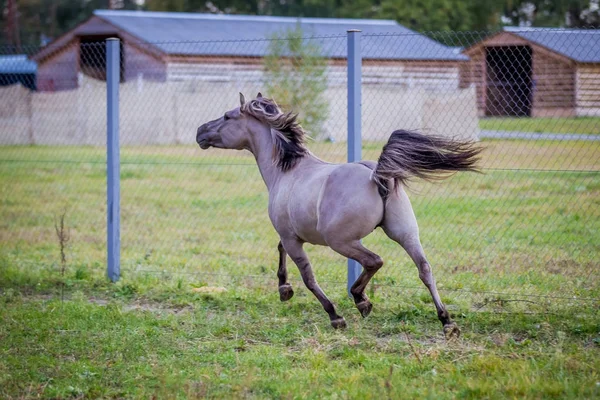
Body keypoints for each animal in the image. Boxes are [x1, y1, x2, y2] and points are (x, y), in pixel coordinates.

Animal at [197, 93, 482, 338]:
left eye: (227, 116)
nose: (200, 131)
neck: (287, 171)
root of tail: (376, 175)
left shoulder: (291, 237)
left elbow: (308, 276)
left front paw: (334, 316)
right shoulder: (291, 234)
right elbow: (280, 251)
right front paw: (284, 290)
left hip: (341, 241)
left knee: (375, 261)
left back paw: (361, 300)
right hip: (406, 233)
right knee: (424, 269)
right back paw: (446, 321)